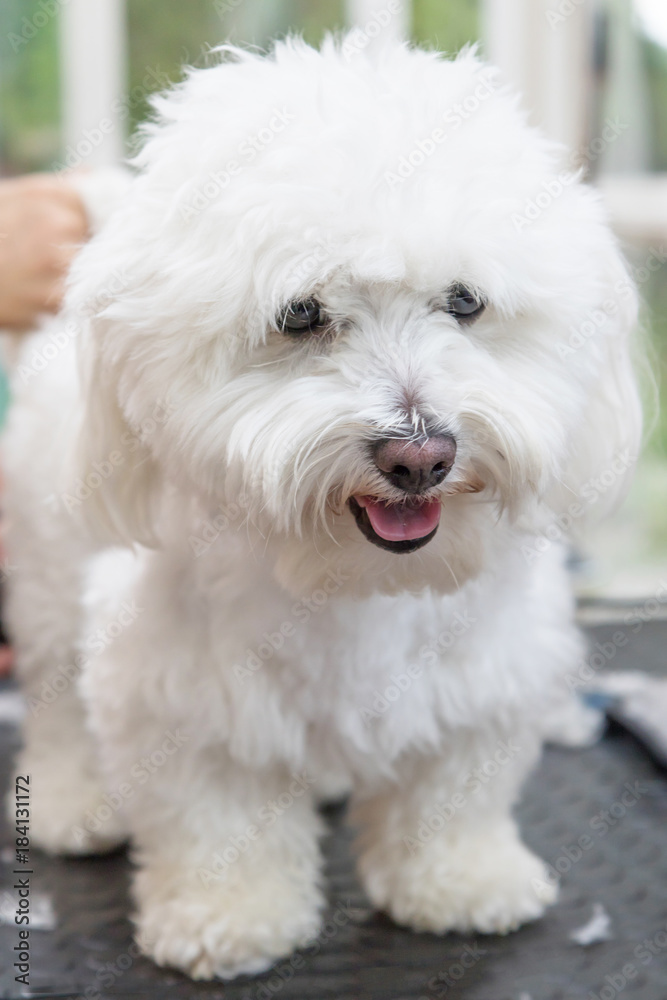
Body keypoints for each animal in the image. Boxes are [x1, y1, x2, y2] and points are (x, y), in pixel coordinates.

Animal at [3, 37, 640, 976]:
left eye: (464, 301)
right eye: (299, 314)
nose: (419, 455)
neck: (353, 577)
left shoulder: (484, 670)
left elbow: (455, 785)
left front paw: (461, 879)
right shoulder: (179, 686)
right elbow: (213, 808)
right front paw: (229, 914)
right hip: (51, 574)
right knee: (54, 697)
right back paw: (75, 801)